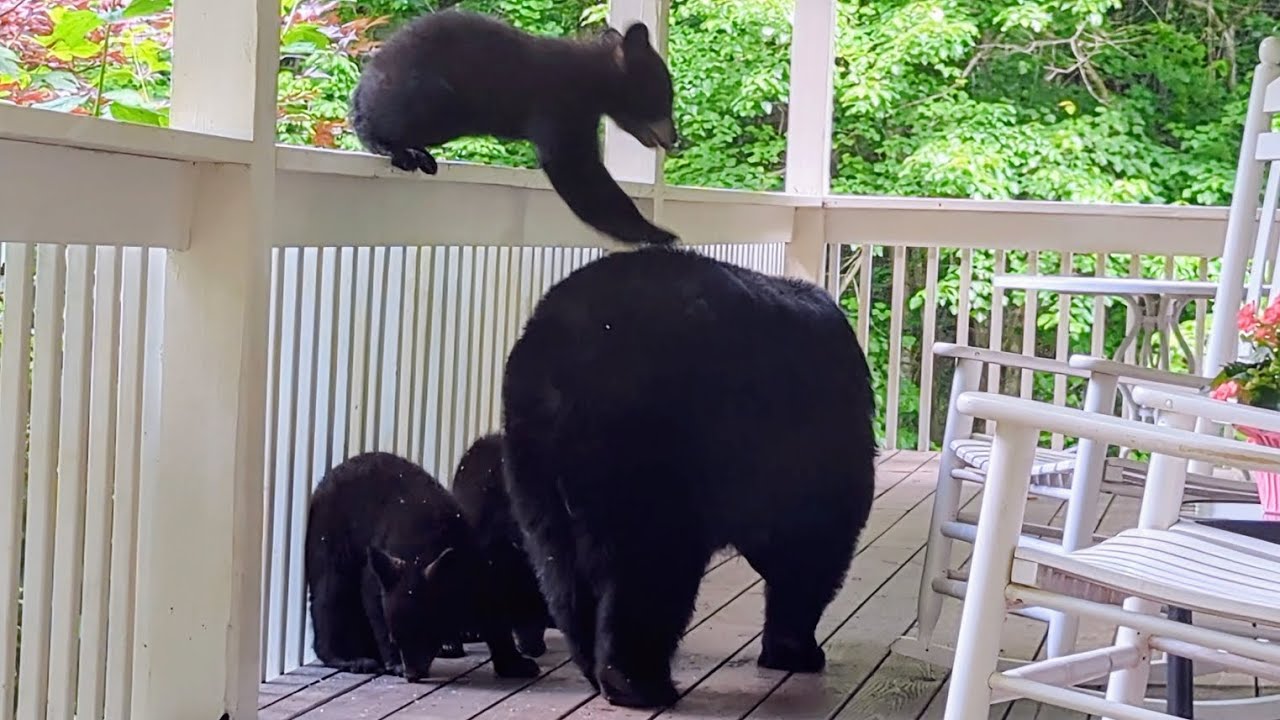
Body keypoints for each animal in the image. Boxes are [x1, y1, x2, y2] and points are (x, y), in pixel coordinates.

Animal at [304, 451, 540, 682]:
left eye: (426, 634)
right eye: (396, 638)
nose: (412, 675)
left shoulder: (470, 561)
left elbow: (492, 612)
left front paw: (514, 663)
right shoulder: (379, 574)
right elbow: (374, 605)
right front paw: (394, 661)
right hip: (329, 541)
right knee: (331, 595)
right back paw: (351, 659)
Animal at [348, 9, 679, 246]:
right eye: (665, 97)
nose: (676, 138)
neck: (593, 76)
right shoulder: (561, 104)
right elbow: (576, 169)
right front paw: (656, 232)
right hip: (433, 96)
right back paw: (399, 150)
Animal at [500, 246, 878, 708]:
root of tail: (557, 365)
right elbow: (811, 550)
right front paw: (796, 649)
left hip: (536, 469)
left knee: (562, 572)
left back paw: (595, 667)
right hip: (651, 452)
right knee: (650, 570)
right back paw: (639, 683)